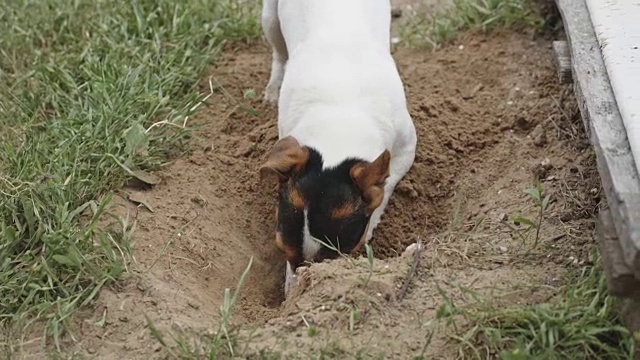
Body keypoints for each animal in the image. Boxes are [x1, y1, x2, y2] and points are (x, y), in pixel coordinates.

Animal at [258, 0, 418, 296]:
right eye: (284, 252)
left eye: (335, 260)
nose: (297, 292)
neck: (341, 114)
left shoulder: (406, 149)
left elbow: (384, 190)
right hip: (270, 19)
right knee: (278, 52)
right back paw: (273, 86)